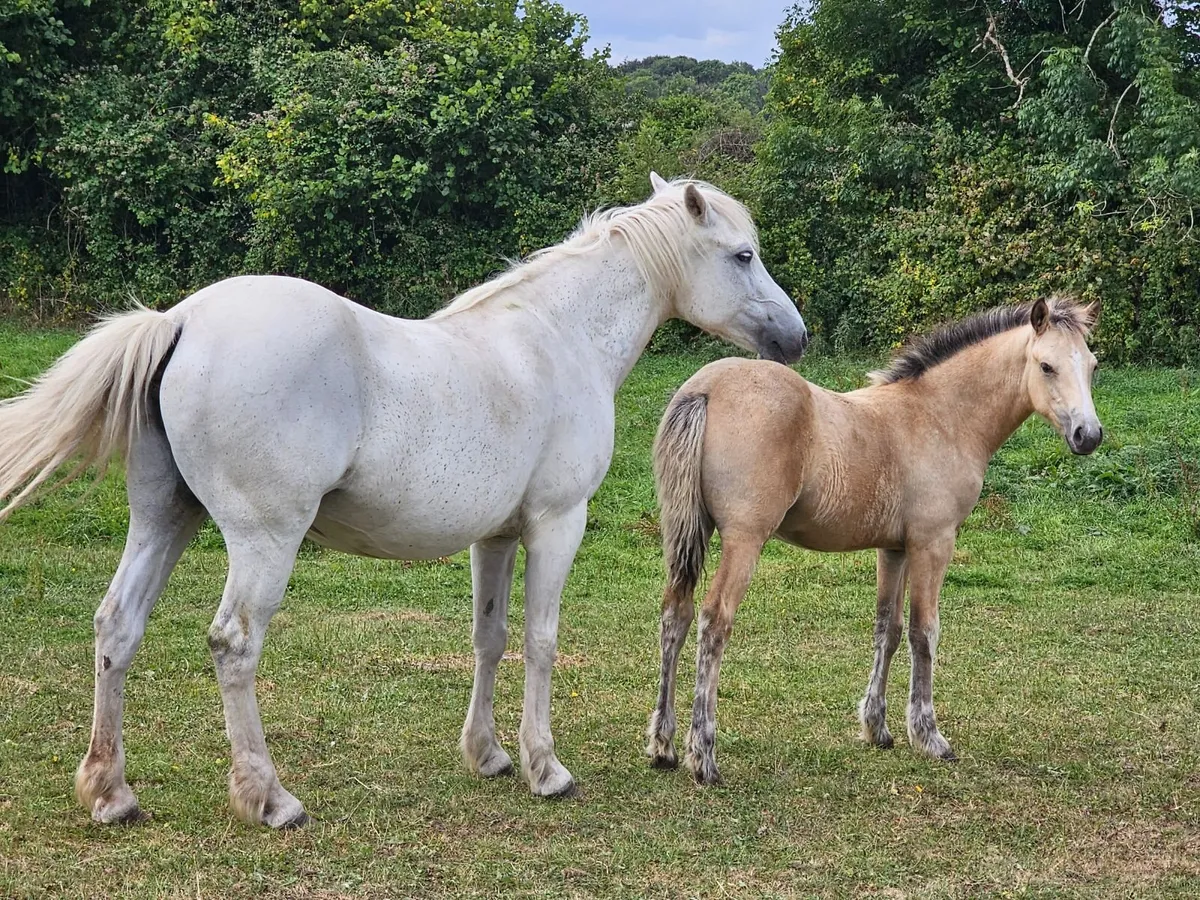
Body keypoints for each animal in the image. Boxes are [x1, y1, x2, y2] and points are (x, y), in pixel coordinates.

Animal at [0, 174, 808, 827]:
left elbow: (490, 638)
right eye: (742, 255)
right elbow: (542, 640)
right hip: (264, 540)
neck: (558, 338)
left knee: (117, 626)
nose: (795, 339)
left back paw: (111, 793)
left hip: (163, 521)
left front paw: (487, 756)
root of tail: (181, 320)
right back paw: (269, 799)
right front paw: (545, 768)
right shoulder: (557, 524)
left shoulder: (497, 537)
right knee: (234, 644)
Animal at [645, 295, 1101, 784]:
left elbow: (889, 629)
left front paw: (877, 728)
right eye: (1047, 366)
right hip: (744, 540)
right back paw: (703, 755)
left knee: (675, 615)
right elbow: (924, 632)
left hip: (687, 531)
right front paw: (929, 735)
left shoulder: (894, 549)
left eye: (1092, 365)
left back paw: (663, 746)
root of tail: (705, 388)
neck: (942, 416)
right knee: (714, 623)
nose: (1088, 435)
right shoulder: (933, 543)